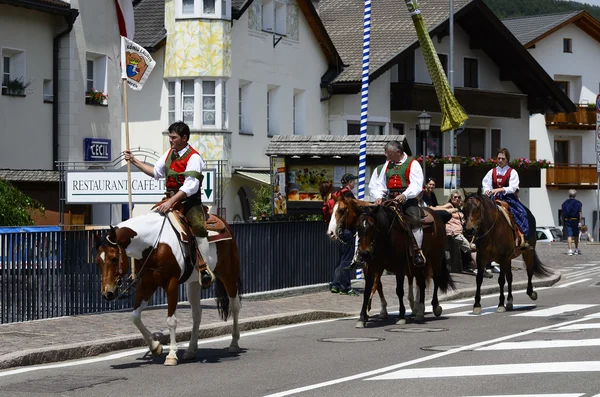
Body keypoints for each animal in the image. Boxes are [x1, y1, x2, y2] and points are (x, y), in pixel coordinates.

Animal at [96, 210, 241, 366]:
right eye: (98, 261)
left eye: (114, 259)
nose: (107, 293)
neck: (155, 244)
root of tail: (223, 222)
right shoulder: (147, 284)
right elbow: (134, 316)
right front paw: (155, 347)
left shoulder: (171, 284)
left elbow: (171, 321)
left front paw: (171, 355)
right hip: (194, 283)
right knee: (197, 314)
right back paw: (190, 350)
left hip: (228, 274)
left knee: (235, 306)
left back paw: (234, 344)